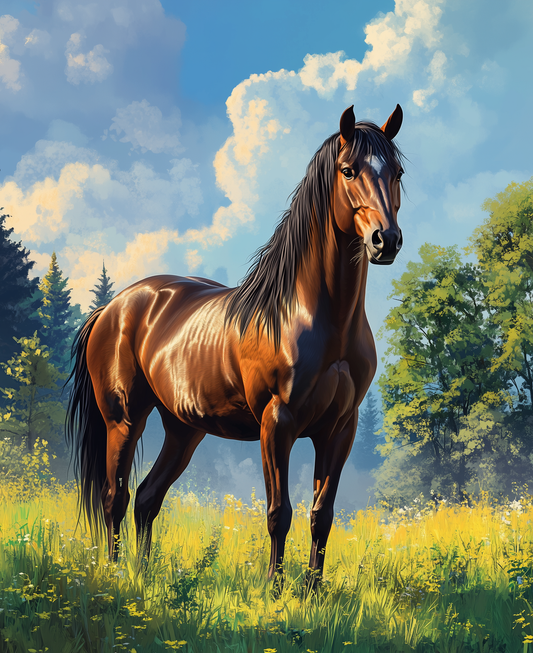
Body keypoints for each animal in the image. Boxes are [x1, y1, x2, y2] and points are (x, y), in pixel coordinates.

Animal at [66, 104, 405, 588]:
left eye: (397, 172)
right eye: (348, 170)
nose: (386, 240)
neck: (315, 316)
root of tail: (112, 308)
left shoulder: (340, 429)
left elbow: (322, 515)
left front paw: (314, 591)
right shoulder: (277, 424)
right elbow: (279, 513)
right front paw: (275, 590)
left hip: (183, 429)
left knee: (147, 498)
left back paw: (143, 576)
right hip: (125, 420)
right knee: (116, 497)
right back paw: (116, 578)